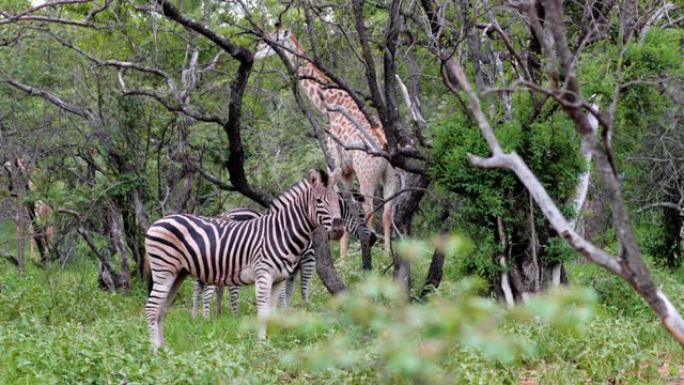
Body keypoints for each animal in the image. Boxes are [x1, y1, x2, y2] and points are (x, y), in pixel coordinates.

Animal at [146, 168, 344, 344]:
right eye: (318, 201)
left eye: (339, 201)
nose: (339, 230)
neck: (280, 232)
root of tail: (157, 222)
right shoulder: (264, 275)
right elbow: (263, 312)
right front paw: (260, 346)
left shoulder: (278, 280)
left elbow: (271, 313)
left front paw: (268, 346)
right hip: (164, 270)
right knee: (152, 308)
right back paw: (155, 351)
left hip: (178, 273)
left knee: (162, 309)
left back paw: (164, 350)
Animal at [191, 192, 380, 318]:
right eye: (361, 215)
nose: (373, 239)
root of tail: (224, 214)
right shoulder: (308, 258)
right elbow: (304, 288)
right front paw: (305, 308)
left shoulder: (290, 266)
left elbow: (287, 290)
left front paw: (284, 312)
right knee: (219, 287)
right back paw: (218, 316)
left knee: (206, 286)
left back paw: (206, 316)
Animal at [255, 29, 396, 258]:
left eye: (271, 38)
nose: (256, 51)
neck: (328, 104)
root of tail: (385, 149)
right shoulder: (347, 171)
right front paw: (345, 256)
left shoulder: (335, 162)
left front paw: (343, 260)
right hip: (391, 175)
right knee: (387, 212)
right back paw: (387, 257)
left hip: (367, 173)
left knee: (370, 209)